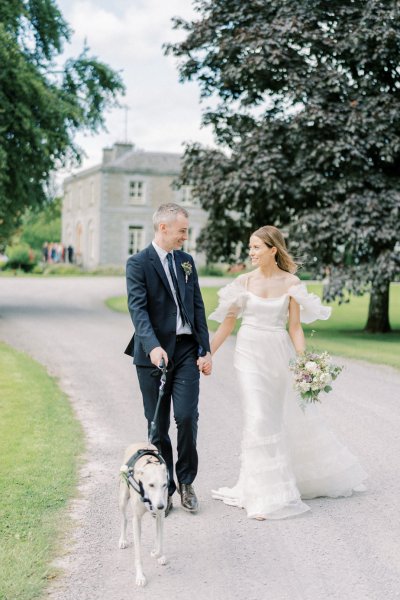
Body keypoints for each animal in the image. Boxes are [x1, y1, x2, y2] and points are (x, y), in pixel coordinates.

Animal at [119, 440, 169, 584]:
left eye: (164, 485)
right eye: (151, 485)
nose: (161, 506)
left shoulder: (160, 516)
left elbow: (160, 541)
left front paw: (158, 554)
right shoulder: (137, 520)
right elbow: (138, 555)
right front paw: (140, 576)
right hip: (123, 498)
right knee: (124, 519)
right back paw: (123, 540)